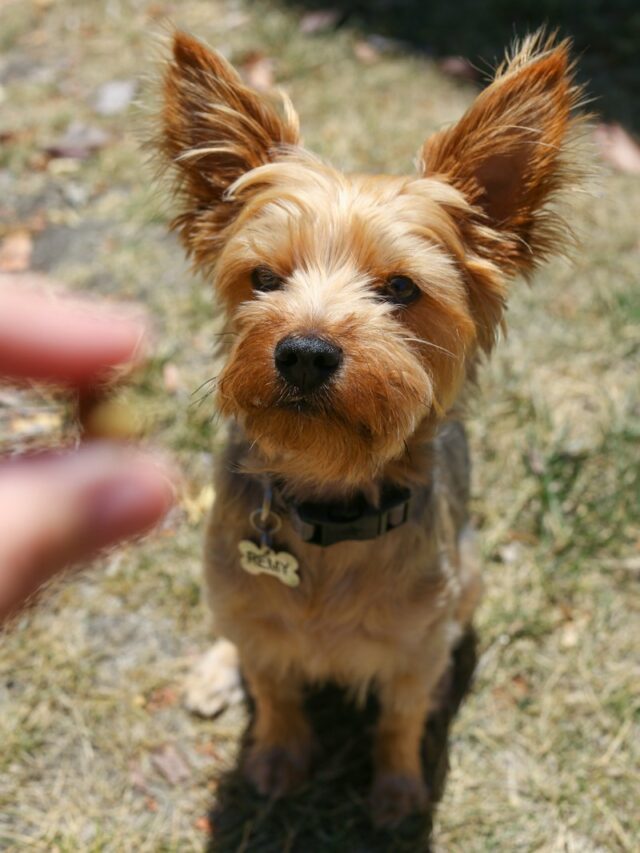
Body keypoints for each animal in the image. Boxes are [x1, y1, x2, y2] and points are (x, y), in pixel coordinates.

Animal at [156, 33, 584, 824]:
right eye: (263, 278)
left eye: (402, 288)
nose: (303, 352)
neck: (328, 492)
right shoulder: (259, 619)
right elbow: (273, 686)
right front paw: (277, 757)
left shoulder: (416, 646)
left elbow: (400, 717)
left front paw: (397, 790)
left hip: (470, 574)